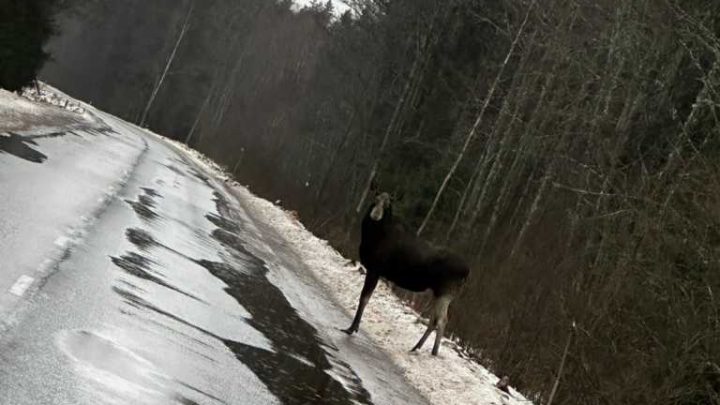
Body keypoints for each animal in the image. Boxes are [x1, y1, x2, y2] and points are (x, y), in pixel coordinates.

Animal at [344, 191, 472, 352]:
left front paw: (352, 328)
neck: (371, 236)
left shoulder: (375, 270)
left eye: (388, 204)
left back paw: (433, 353)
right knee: (433, 319)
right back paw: (416, 347)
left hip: (446, 292)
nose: (376, 214)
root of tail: (467, 271)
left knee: (442, 320)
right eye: (375, 199)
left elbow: (364, 298)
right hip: (437, 292)